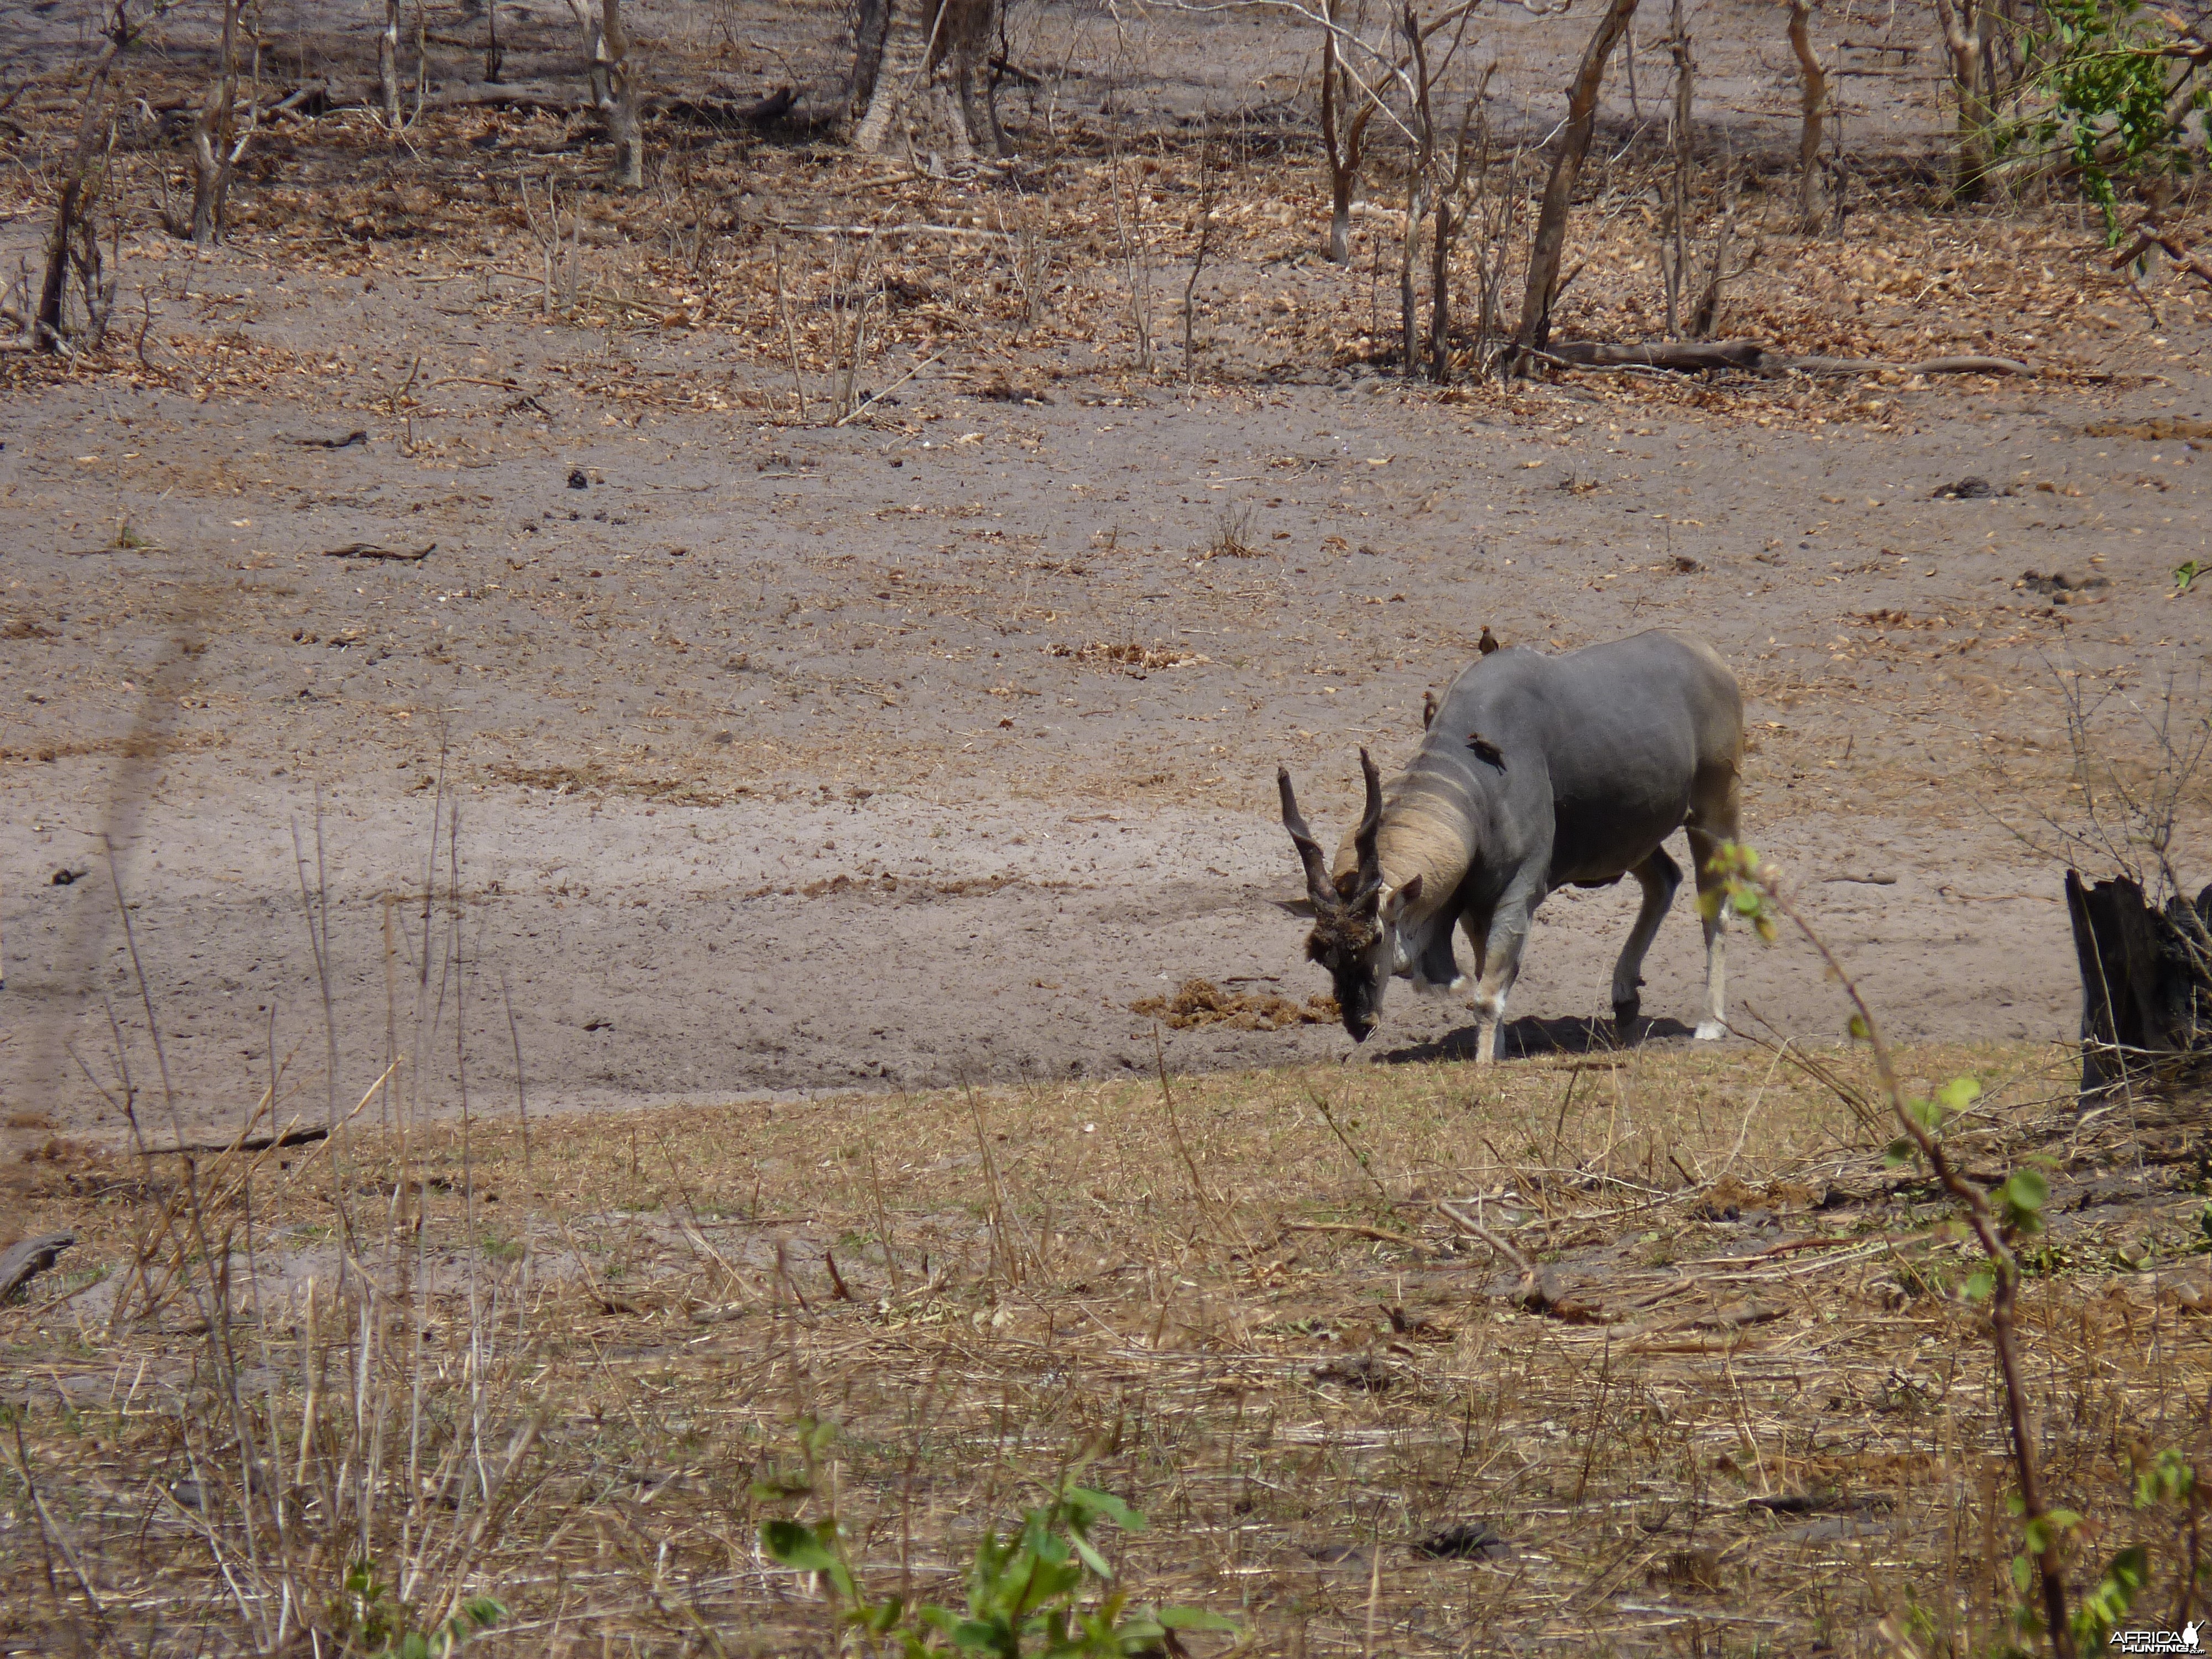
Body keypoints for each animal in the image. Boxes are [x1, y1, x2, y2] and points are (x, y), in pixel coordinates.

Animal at [1283, 628, 1743, 1071]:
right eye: (1323, 954)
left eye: (1376, 935)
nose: (1359, 1024)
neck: (1477, 783)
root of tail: (1708, 657)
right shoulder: (1474, 906)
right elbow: (1488, 977)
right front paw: (1499, 1051)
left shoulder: (1517, 895)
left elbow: (1487, 996)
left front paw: (1486, 1063)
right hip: (1632, 835)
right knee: (1664, 880)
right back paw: (1626, 998)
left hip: (1714, 817)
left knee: (1716, 911)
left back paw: (1711, 1024)